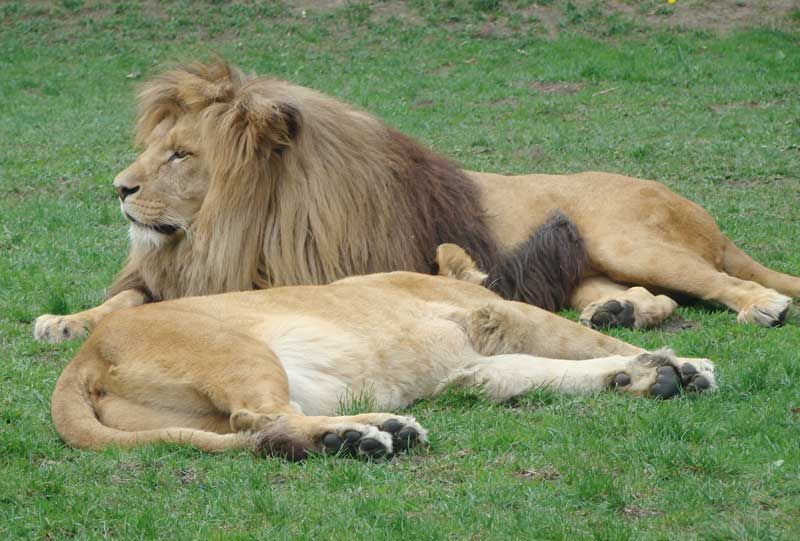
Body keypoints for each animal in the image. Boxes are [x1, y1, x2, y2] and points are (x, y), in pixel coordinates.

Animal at [32, 62, 792, 342]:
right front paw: (66, 320)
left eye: (181, 155)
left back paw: (762, 305)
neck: (231, 229)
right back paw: (619, 312)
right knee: (651, 299)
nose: (120, 188)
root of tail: (700, 212)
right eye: (155, 147)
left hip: (631, 238)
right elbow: (125, 302)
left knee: (719, 282)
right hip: (587, 267)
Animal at [53, 247, 716, 458]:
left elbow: (547, 372)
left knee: (266, 431)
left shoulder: (471, 368)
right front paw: (681, 367)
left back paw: (371, 432)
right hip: (240, 348)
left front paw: (639, 378)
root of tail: (82, 358)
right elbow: (586, 341)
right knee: (263, 418)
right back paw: (364, 437)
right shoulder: (501, 316)